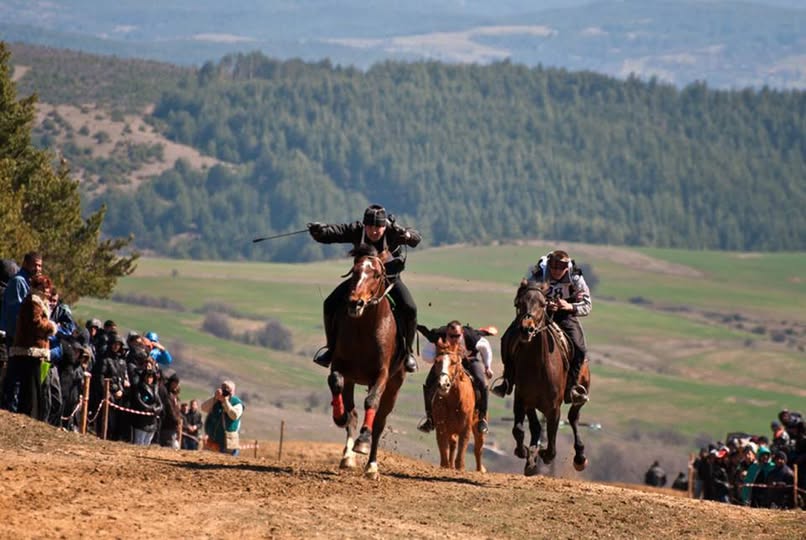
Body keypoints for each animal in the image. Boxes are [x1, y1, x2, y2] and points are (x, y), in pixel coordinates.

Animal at [326, 246, 408, 480]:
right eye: (354, 271)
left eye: (377, 275)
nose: (355, 302)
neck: (365, 328)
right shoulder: (340, 366)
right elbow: (335, 383)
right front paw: (339, 416)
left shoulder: (381, 374)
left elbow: (371, 403)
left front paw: (362, 442)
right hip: (354, 380)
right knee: (353, 413)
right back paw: (347, 457)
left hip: (393, 385)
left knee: (379, 423)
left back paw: (371, 465)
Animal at [430, 338, 486, 472]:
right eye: (437, 361)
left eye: (454, 362)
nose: (443, 385)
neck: (453, 400)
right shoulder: (441, 427)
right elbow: (443, 448)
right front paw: (446, 466)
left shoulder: (465, 427)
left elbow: (462, 448)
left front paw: (460, 468)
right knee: (453, 444)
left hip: (478, 426)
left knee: (478, 447)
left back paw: (479, 469)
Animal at [504, 280, 592, 474]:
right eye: (519, 303)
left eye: (543, 304)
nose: (526, 329)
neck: (539, 366)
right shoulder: (523, 399)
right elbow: (519, 429)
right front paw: (525, 453)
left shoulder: (553, 408)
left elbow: (551, 445)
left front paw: (542, 453)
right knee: (536, 427)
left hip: (580, 394)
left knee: (574, 418)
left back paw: (580, 457)